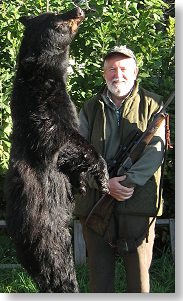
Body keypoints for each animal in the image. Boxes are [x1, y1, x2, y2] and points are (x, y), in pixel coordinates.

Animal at [4, 7, 108, 292]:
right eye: (55, 18)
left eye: (53, 11)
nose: (78, 8)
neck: (44, 74)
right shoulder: (40, 111)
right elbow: (66, 144)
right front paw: (103, 176)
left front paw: (81, 184)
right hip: (48, 235)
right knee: (58, 270)